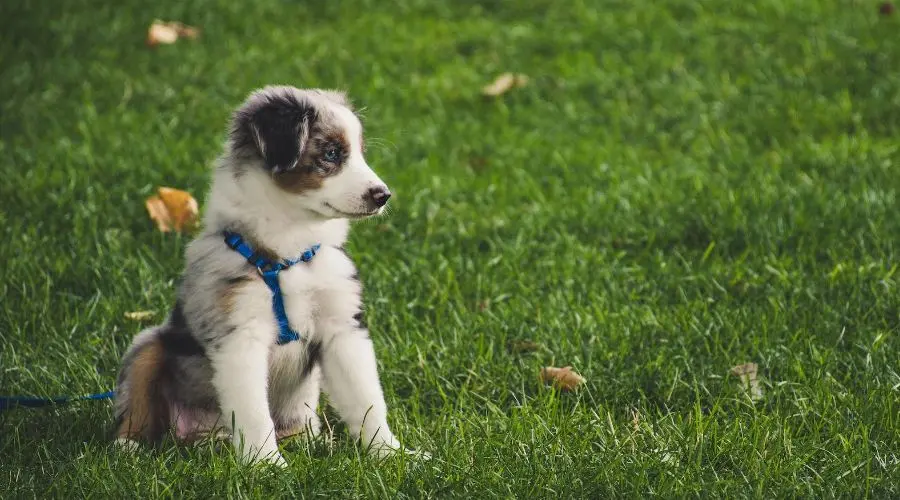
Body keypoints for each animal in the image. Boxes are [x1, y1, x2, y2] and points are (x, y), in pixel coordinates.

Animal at [113, 86, 418, 464]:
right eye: (331, 153)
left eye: (360, 153)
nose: (383, 196)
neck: (289, 252)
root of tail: (204, 435)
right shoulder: (240, 335)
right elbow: (254, 413)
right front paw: (266, 465)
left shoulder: (342, 328)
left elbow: (366, 399)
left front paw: (392, 455)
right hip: (148, 345)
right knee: (136, 401)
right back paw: (128, 446)